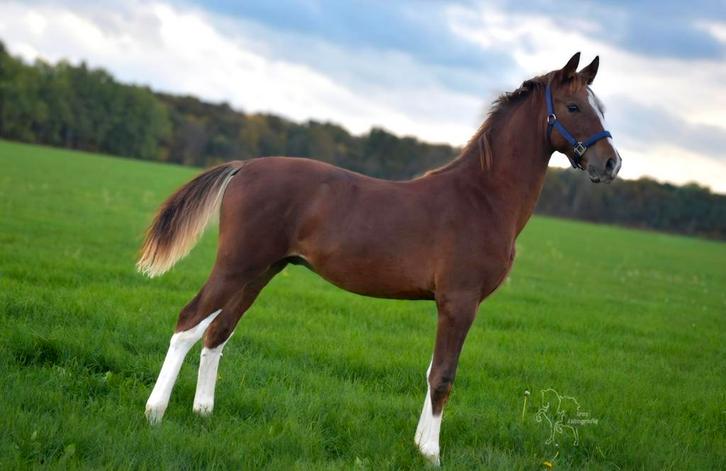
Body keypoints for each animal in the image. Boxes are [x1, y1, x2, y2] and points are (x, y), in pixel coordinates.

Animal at [138, 52, 621, 465]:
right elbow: (443, 376)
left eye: (601, 108)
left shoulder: (448, 305)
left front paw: (419, 444)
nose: (611, 164)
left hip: (260, 272)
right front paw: (431, 454)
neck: (481, 197)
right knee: (189, 322)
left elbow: (431, 371)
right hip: (236, 266)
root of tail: (245, 166)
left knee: (217, 331)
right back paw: (154, 413)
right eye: (574, 106)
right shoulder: (460, 302)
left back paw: (203, 413)